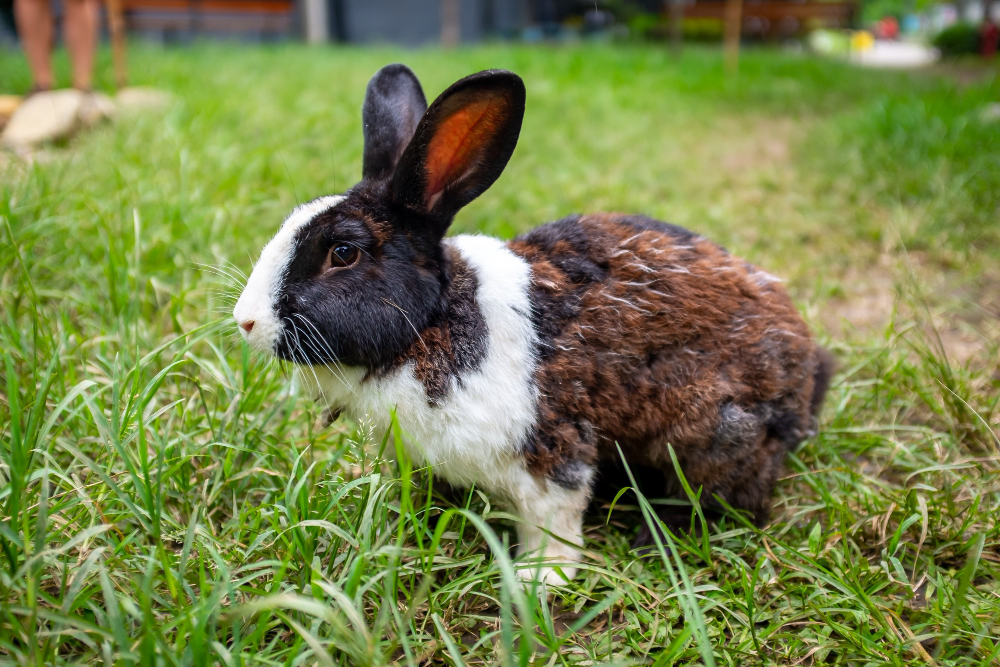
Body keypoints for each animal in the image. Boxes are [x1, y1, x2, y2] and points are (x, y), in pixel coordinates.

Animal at [230, 64, 832, 584]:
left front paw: (541, 579)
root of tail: (808, 372)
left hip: (714, 427)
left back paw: (657, 535)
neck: (433, 322)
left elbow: (554, 520)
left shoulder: (550, 454)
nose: (246, 321)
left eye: (344, 253)